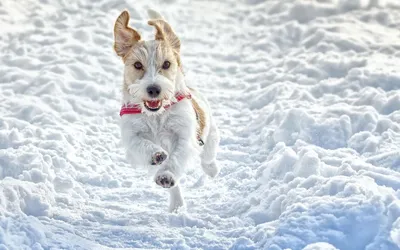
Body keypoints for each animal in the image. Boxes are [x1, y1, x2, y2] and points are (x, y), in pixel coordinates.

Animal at [113, 9, 219, 211]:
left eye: (167, 64)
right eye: (137, 65)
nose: (154, 89)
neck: (156, 115)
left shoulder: (184, 135)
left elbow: (176, 157)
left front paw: (166, 175)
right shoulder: (131, 136)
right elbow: (142, 144)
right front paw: (156, 154)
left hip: (210, 135)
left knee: (207, 156)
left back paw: (211, 169)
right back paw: (176, 204)